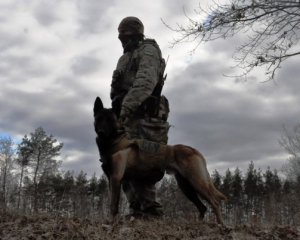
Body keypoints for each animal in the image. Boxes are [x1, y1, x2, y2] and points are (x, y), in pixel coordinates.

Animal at [92, 96, 226, 224]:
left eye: (110, 120)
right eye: (99, 119)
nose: (101, 132)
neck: (114, 141)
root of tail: (194, 150)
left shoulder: (116, 178)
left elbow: (113, 204)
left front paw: (110, 222)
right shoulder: (111, 179)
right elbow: (112, 201)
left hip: (196, 182)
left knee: (214, 201)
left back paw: (220, 224)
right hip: (186, 186)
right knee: (203, 207)